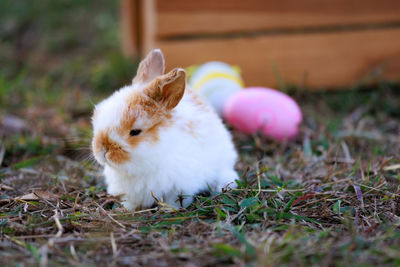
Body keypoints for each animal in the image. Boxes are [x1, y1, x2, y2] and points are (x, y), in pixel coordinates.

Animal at [91, 48, 238, 211]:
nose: (103, 150)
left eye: (135, 132)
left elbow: (176, 200)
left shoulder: (180, 186)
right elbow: (130, 202)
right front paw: (125, 210)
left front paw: (169, 209)